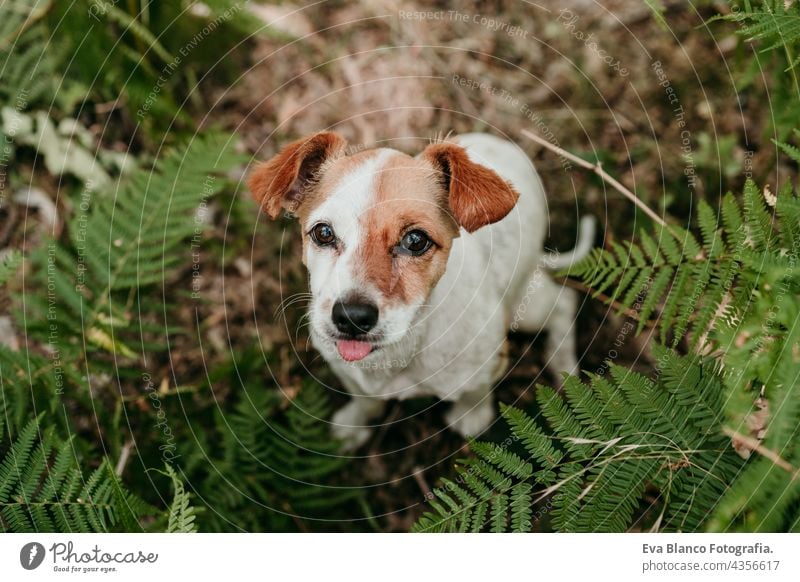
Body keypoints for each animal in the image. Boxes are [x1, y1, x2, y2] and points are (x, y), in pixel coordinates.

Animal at [248, 132, 592, 452]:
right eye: (323, 233)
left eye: (416, 240)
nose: (351, 317)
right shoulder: (347, 372)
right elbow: (365, 401)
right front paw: (353, 426)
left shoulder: (488, 362)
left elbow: (475, 393)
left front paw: (473, 417)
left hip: (526, 306)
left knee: (565, 301)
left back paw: (563, 367)